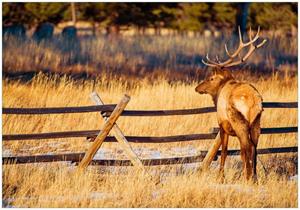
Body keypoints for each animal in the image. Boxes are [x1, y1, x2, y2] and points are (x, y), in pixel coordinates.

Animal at [196, 26, 266, 180]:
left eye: (211, 78)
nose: (197, 87)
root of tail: (253, 102)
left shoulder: (222, 123)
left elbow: (224, 151)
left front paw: (220, 177)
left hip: (239, 122)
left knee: (247, 149)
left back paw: (247, 177)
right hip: (256, 123)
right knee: (254, 149)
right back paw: (254, 177)